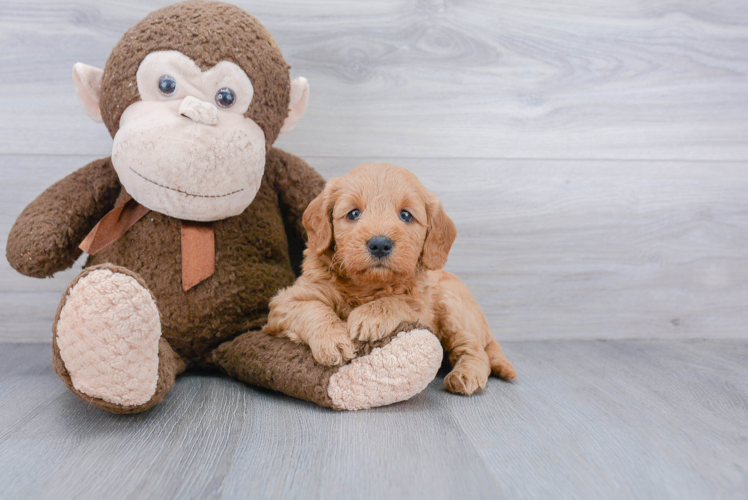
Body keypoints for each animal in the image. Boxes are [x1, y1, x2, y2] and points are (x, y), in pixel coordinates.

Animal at [266, 164, 516, 394]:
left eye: (405, 215)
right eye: (354, 213)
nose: (379, 244)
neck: (367, 288)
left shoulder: (422, 306)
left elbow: (399, 301)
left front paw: (369, 316)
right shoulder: (286, 301)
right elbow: (312, 308)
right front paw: (332, 340)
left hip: (453, 307)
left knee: (476, 352)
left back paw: (465, 375)